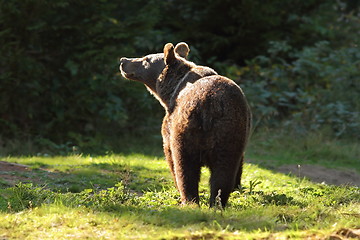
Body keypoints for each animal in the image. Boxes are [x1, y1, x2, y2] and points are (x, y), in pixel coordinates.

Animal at [119, 42, 252, 206]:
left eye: (145, 59)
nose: (123, 60)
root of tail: (210, 103)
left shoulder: (169, 125)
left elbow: (169, 154)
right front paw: (236, 186)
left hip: (186, 129)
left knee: (185, 166)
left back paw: (189, 200)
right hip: (230, 129)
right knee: (224, 169)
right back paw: (217, 202)